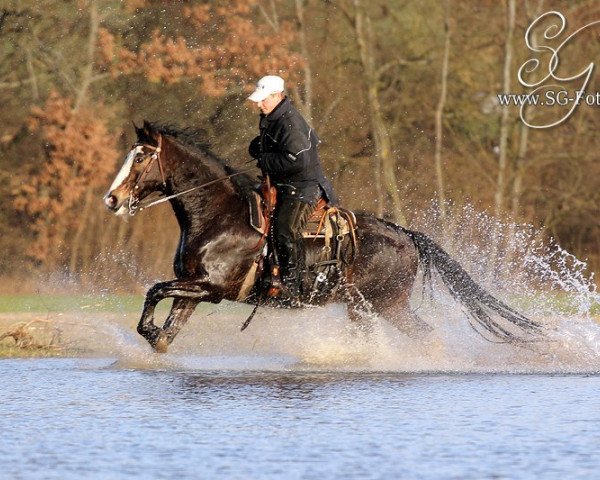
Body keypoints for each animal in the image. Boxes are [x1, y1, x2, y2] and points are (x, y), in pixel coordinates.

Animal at [104, 121, 544, 352]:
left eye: (140, 157)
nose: (112, 199)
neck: (218, 216)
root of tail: (406, 236)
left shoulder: (211, 287)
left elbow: (155, 290)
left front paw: (149, 331)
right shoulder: (194, 287)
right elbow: (168, 322)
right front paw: (157, 338)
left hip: (381, 304)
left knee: (424, 335)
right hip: (366, 307)